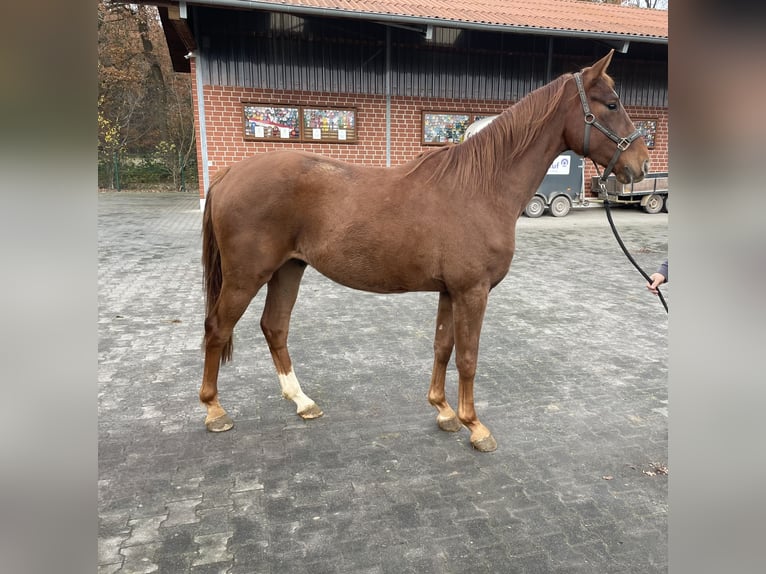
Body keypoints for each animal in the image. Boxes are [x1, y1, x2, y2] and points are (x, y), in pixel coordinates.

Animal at [198, 51, 648, 452]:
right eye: (611, 104)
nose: (640, 165)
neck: (481, 187)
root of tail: (229, 173)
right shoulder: (472, 291)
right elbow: (468, 356)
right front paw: (475, 426)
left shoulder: (450, 290)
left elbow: (442, 347)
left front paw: (444, 412)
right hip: (246, 276)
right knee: (217, 328)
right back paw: (215, 411)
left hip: (288, 269)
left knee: (274, 327)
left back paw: (302, 402)